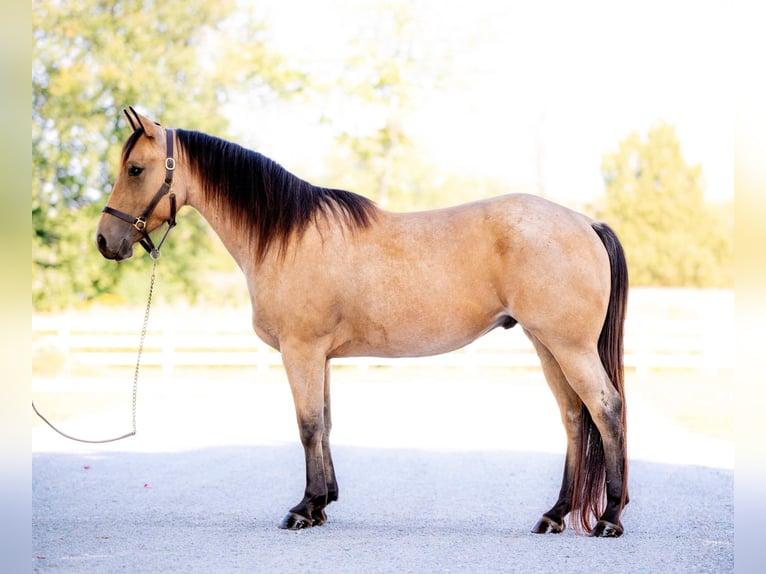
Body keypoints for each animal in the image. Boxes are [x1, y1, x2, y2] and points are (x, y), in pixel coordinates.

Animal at [97, 108, 632, 540]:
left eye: (136, 169)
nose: (105, 240)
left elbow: (308, 425)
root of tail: (585, 223)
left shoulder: (302, 350)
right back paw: (555, 514)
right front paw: (323, 504)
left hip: (569, 346)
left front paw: (304, 508)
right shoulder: (320, 356)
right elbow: (325, 423)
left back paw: (610, 518)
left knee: (605, 410)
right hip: (547, 344)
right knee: (574, 417)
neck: (286, 237)